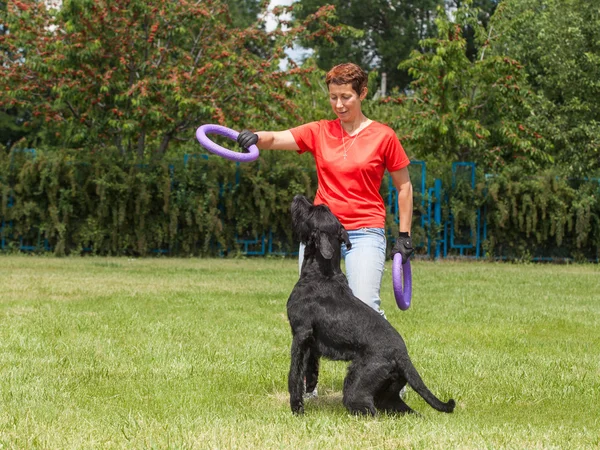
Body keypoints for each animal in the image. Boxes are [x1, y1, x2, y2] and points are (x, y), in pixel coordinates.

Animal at [286, 195, 454, 416]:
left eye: (314, 211)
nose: (298, 197)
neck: (320, 273)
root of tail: (402, 355)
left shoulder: (300, 333)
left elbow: (295, 373)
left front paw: (296, 407)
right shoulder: (312, 339)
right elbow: (311, 366)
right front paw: (310, 387)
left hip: (357, 385)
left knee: (367, 409)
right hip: (389, 397)